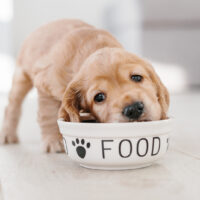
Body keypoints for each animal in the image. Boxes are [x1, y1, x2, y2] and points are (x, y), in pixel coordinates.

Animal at [0, 19, 170, 152]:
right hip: (21, 77)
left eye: (136, 77)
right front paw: (52, 141)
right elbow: (47, 114)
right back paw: (8, 134)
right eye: (99, 97)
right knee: (12, 106)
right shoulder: (45, 84)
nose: (133, 109)